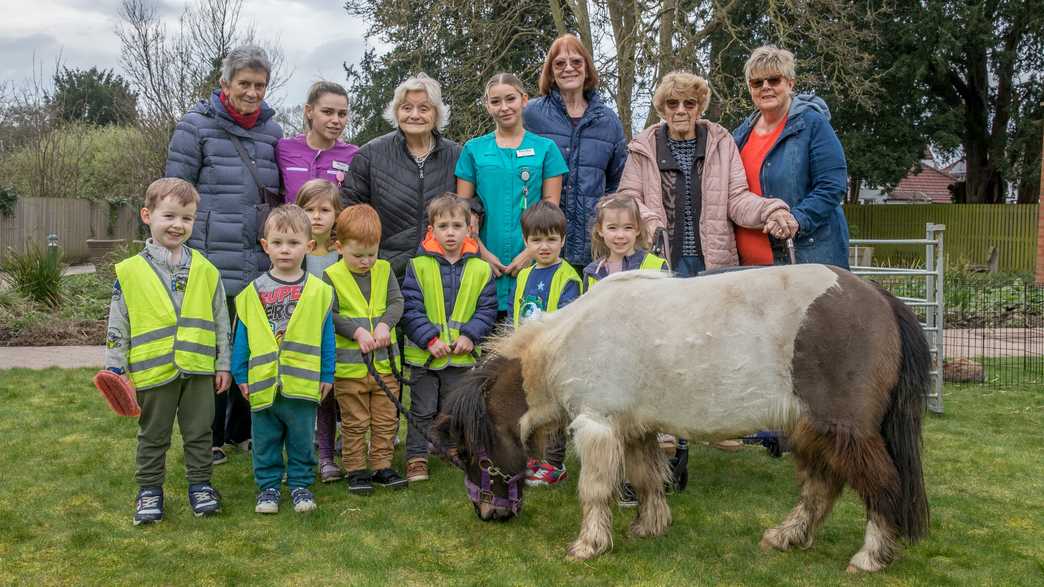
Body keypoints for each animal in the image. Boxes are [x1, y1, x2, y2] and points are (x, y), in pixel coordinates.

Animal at [438, 263, 931, 568]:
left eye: (469, 455)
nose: (488, 514)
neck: (567, 344)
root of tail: (881, 297)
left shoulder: (597, 425)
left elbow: (595, 490)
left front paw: (588, 545)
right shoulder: (635, 429)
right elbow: (646, 478)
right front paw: (649, 526)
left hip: (844, 429)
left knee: (881, 484)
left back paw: (870, 556)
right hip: (814, 429)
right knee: (822, 487)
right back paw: (786, 536)